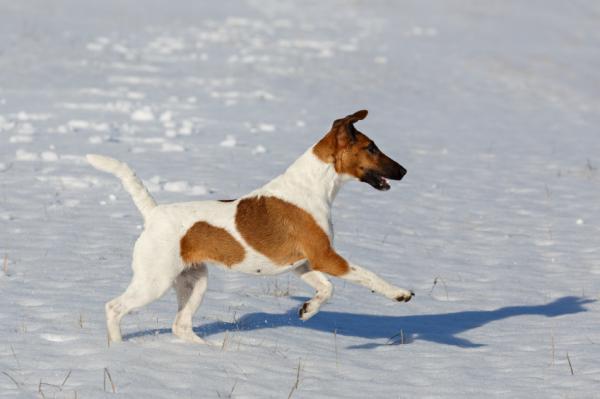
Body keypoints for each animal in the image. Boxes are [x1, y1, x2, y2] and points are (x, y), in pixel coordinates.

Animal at [88, 111, 412, 346]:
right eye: (371, 148)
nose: (404, 171)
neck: (312, 185)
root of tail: (153, 213)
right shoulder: (326, 257)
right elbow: (368, 276)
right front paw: (400, 293)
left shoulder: (305, 264)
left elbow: (327, 288)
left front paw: (308, 310)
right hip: (155, 281)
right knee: (113, 307)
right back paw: (118, 349)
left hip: (195, 282)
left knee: (180, 326)